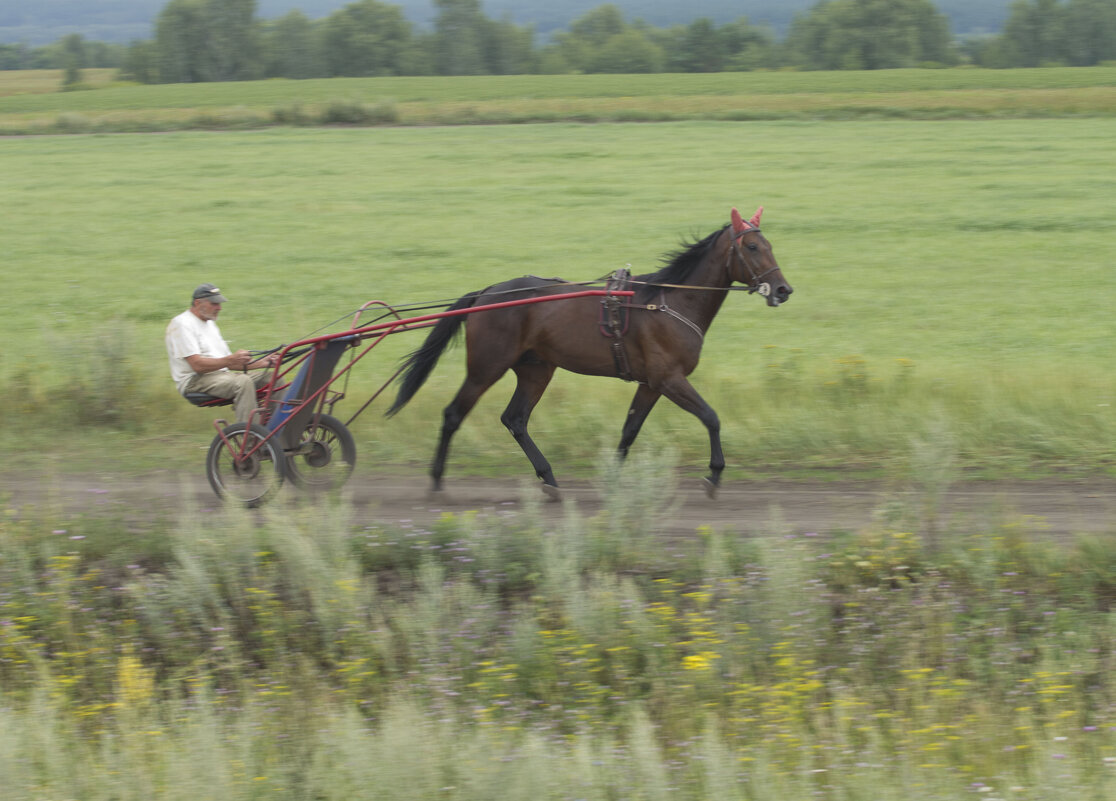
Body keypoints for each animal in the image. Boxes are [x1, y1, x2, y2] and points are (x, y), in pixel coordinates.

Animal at [388, 205, 799, 495]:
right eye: (752, 246)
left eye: (770, 245)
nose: (783, 290)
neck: (668, 302)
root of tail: (486, 293)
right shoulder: (670, 378)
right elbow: (712, 417)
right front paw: (714, 474)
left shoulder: (652, 383)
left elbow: (630, 430)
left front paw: (614, 480)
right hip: (487, 366)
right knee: (453, 414)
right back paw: (437, 480)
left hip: (536, 368)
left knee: (515, 419)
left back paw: (549, 478)